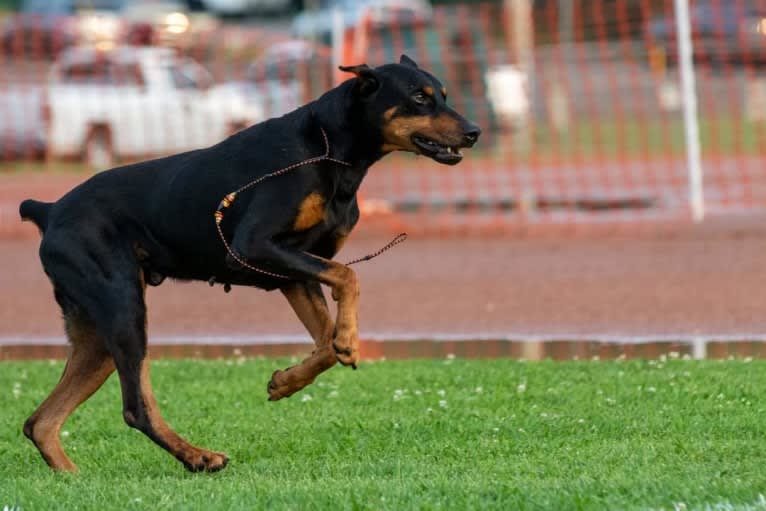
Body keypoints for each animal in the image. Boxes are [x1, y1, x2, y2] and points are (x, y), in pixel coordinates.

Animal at [18, 54, 480, 474]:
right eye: (419, 97)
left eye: (442, 94)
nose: (474, 132)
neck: (327, 149)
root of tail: (50, 210)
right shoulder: (253, 247)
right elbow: (349, 276)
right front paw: (350, 339)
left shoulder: (294, 272)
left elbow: (324, 343)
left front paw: (286, 381)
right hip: (123, 307)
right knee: (135, 406)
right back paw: (198, 457)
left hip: (96, 333)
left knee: (40, 422)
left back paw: (73, 476)